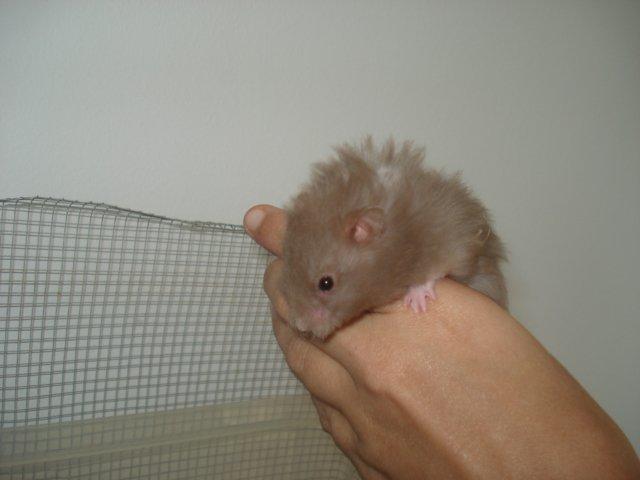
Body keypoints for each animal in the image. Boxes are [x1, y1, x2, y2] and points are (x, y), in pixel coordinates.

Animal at [281, 137, 507, 339]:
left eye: (326, 283)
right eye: (287, 277)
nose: (301, 326)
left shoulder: (456, 238)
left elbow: (437, 269)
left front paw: (417, 302)